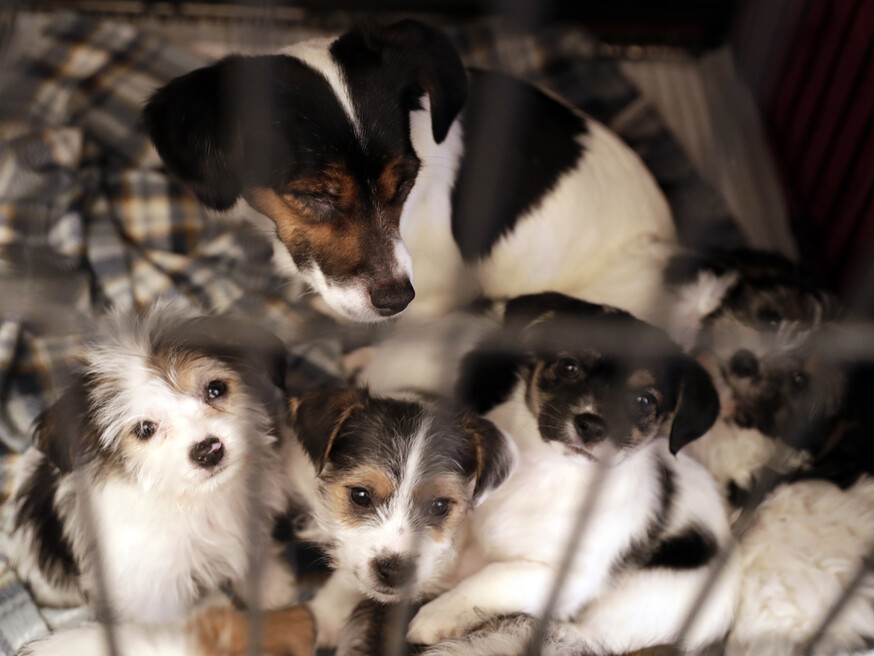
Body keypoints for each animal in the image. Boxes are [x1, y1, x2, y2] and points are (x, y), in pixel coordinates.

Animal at [404, 296, 736, 656]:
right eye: (568, 367)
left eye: (644, 400)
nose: (592, 426)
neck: (548, 469)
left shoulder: (566, 578)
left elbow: (492, 578)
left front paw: (439, 613)